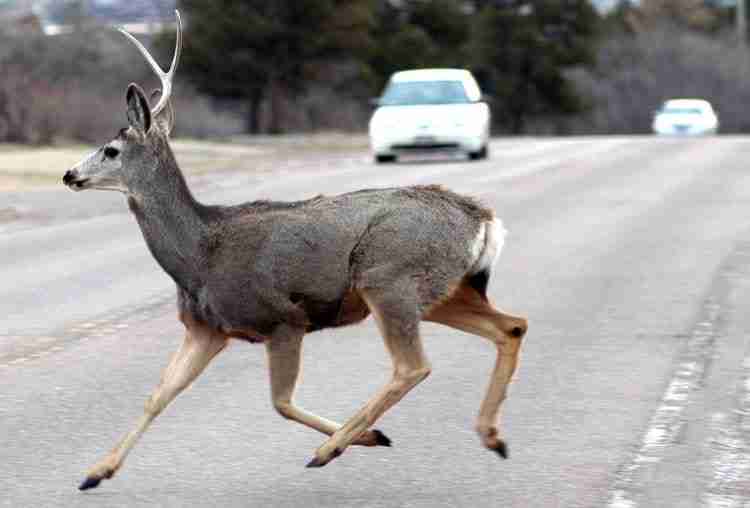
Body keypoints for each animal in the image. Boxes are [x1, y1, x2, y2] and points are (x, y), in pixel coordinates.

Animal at [63, 9, 528, 490]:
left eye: (110, 150)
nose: (68, 174)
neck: (199, 255)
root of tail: (483, 218)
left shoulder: (283, 318)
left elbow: (280, 402)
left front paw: (365, 438)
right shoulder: (206, 328)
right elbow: (157, 396)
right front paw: (96, 472)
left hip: (389, 278)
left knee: (413, 365)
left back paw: (333, 447)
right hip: (442, 291)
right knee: (511, 326)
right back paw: (490, 435)